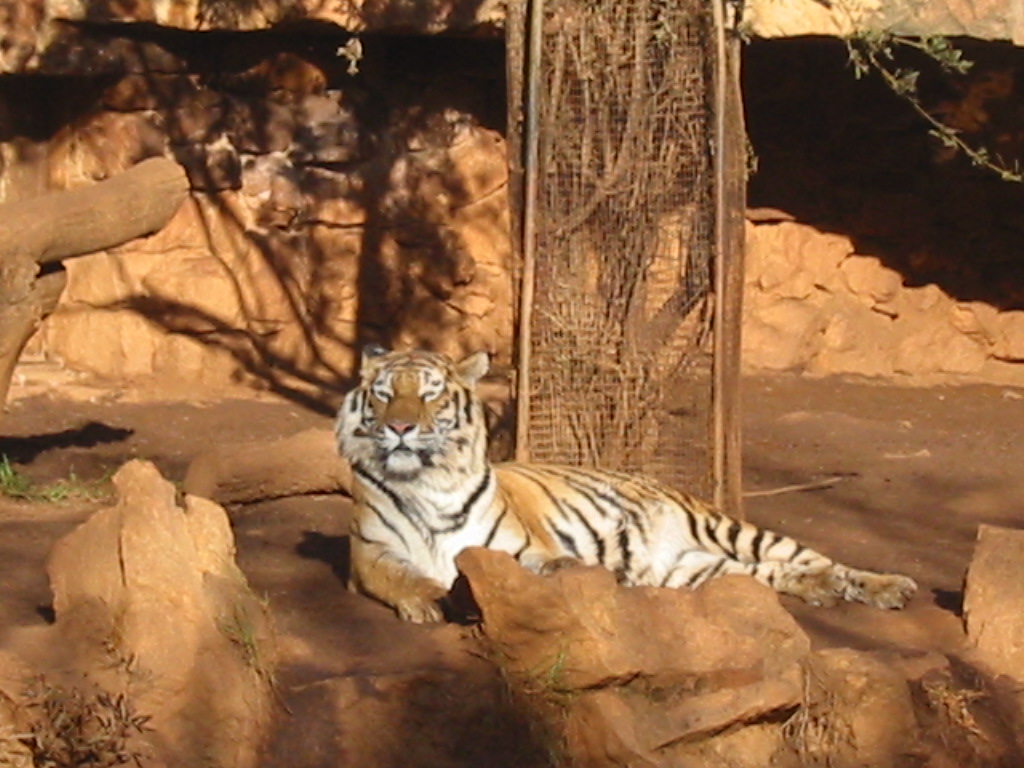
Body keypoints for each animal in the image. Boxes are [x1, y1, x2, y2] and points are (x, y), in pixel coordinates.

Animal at [335, 346, 918, 623]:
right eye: (384, 395)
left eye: (430, 394)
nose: (401, 427)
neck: (426, 480)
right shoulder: (370, 554)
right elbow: (402, 577)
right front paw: (430, 599)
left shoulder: (520, 546)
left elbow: (545, 565)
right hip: (696, 569)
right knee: (766, 575)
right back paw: (818, 589)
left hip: (728, 529)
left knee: (819, 559)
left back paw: (885, 586)